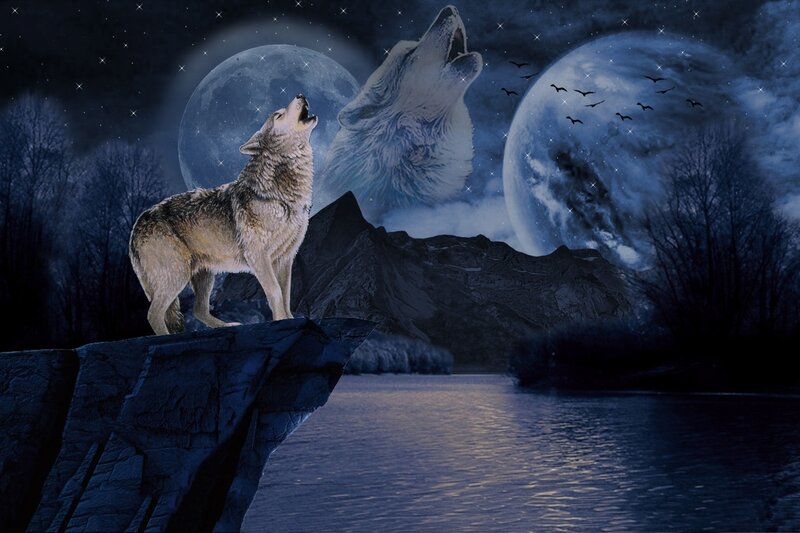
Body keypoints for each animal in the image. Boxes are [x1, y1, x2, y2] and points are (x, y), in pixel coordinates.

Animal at [129, 95, 317, 335]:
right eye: (279, 115)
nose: (301, 95)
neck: (280, 195)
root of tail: (136, 225)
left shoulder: (284, 258)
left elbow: (285, 295)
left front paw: (289, 321)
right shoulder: (258, 256)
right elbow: (275, 291)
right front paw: (281, 322)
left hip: (204, 276)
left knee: (198, 310)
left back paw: (226, 326)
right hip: (177, 276)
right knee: (153, 314)